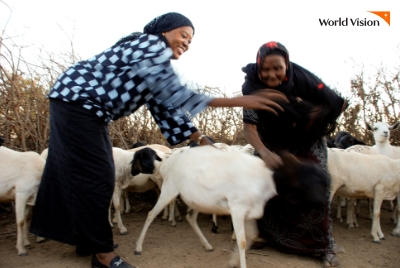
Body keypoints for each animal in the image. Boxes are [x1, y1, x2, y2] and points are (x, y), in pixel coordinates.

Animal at [130, 147, 276, 268]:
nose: (132, 171)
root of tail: (166, 163)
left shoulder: (249, 213)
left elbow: (251, 236)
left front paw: (233, 262)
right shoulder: (237, 209)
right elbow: (243, 242)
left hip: (198, 200)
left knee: (190, 217)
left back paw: (207, 245)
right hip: (169, 189)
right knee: (151, 214)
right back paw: (138, 247)